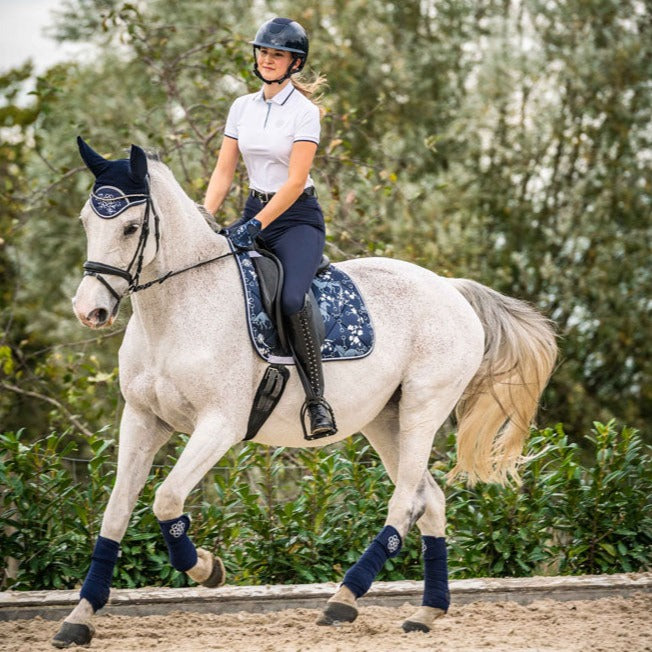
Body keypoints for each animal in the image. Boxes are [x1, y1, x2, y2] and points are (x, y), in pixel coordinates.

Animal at [53, 139, 556, 648]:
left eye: (132, 227)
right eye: (86, 221)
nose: (89, 310)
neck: (178, 309)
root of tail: (450, 288)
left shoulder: (220, 424)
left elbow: (167, 500)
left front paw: (208, 569)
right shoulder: (142, 419)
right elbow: (116, 512)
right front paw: (79, 617)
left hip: (423, 407)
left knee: (405, 503)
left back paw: (343, 600)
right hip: (385, 419)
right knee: (428, 500)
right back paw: (426, 612)